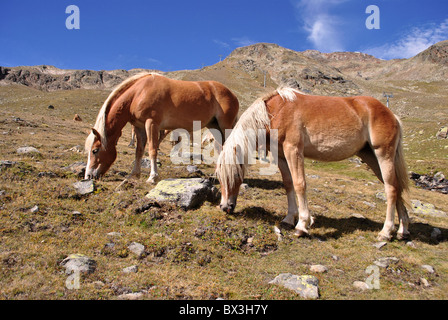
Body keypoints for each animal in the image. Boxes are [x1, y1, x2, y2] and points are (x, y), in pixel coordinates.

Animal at [84, 72, 238, 182]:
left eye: (95, 151)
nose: (88, 177)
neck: (138, 92)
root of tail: (231, 94)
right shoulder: (139, 127)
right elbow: (139, 151)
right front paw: (134, 174)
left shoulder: (151, 123)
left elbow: (152, 149)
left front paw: (153, 177)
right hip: (214, 127)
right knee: (220, 148)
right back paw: (217, 175)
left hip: (225, 126)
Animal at [216, 87, 410, 240]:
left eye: (234, 174)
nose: (224, 207)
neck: (276, 112)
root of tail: (391, 115)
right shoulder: (280, 156)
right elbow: (288, 184)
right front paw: (288, 219)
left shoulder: (293, 150)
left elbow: (299, 184)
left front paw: (302, 225)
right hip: (371, 157)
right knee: (397, 187)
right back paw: (403, 230)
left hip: (383, 154)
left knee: (391, 189)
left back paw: (386, 232)